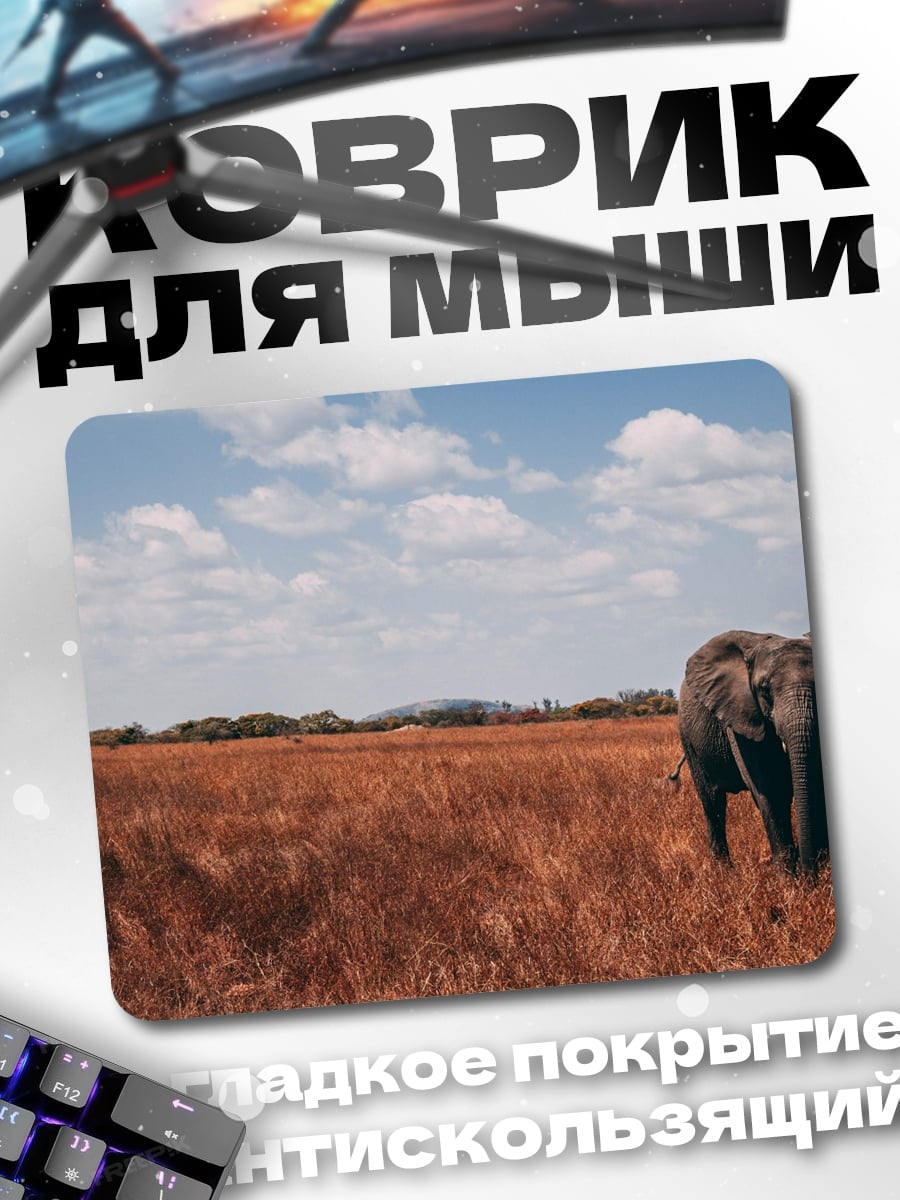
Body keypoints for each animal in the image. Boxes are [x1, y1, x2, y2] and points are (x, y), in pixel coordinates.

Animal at [673, 630, 827, 878]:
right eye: (764, 689)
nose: (809, 874)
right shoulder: (740, 714)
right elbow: (771, 788)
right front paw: (788, 880)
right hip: (688, 737)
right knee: (713, 802)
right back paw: (722, 873)